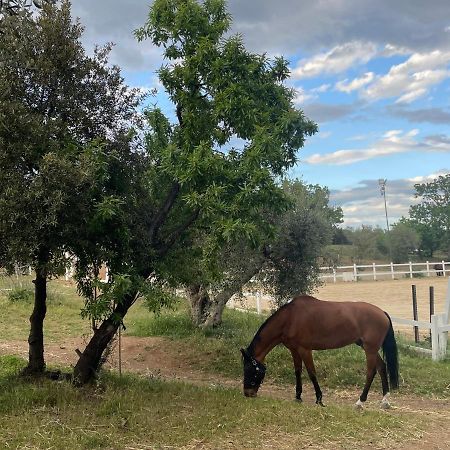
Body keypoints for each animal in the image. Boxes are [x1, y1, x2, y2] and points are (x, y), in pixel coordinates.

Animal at [241, 294, 400, 410]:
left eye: (250, 370)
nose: (248, 394)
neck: (290, 318)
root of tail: (382, 313)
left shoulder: (305, 350)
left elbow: (312, 373)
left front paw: (319, 399)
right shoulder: (294, 350)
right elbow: (297, 371)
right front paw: (298, 397)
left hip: (370, 349)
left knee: (371, 372)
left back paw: (360, 402)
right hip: (368, 347)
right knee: (382, 367)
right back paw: (385, 400)